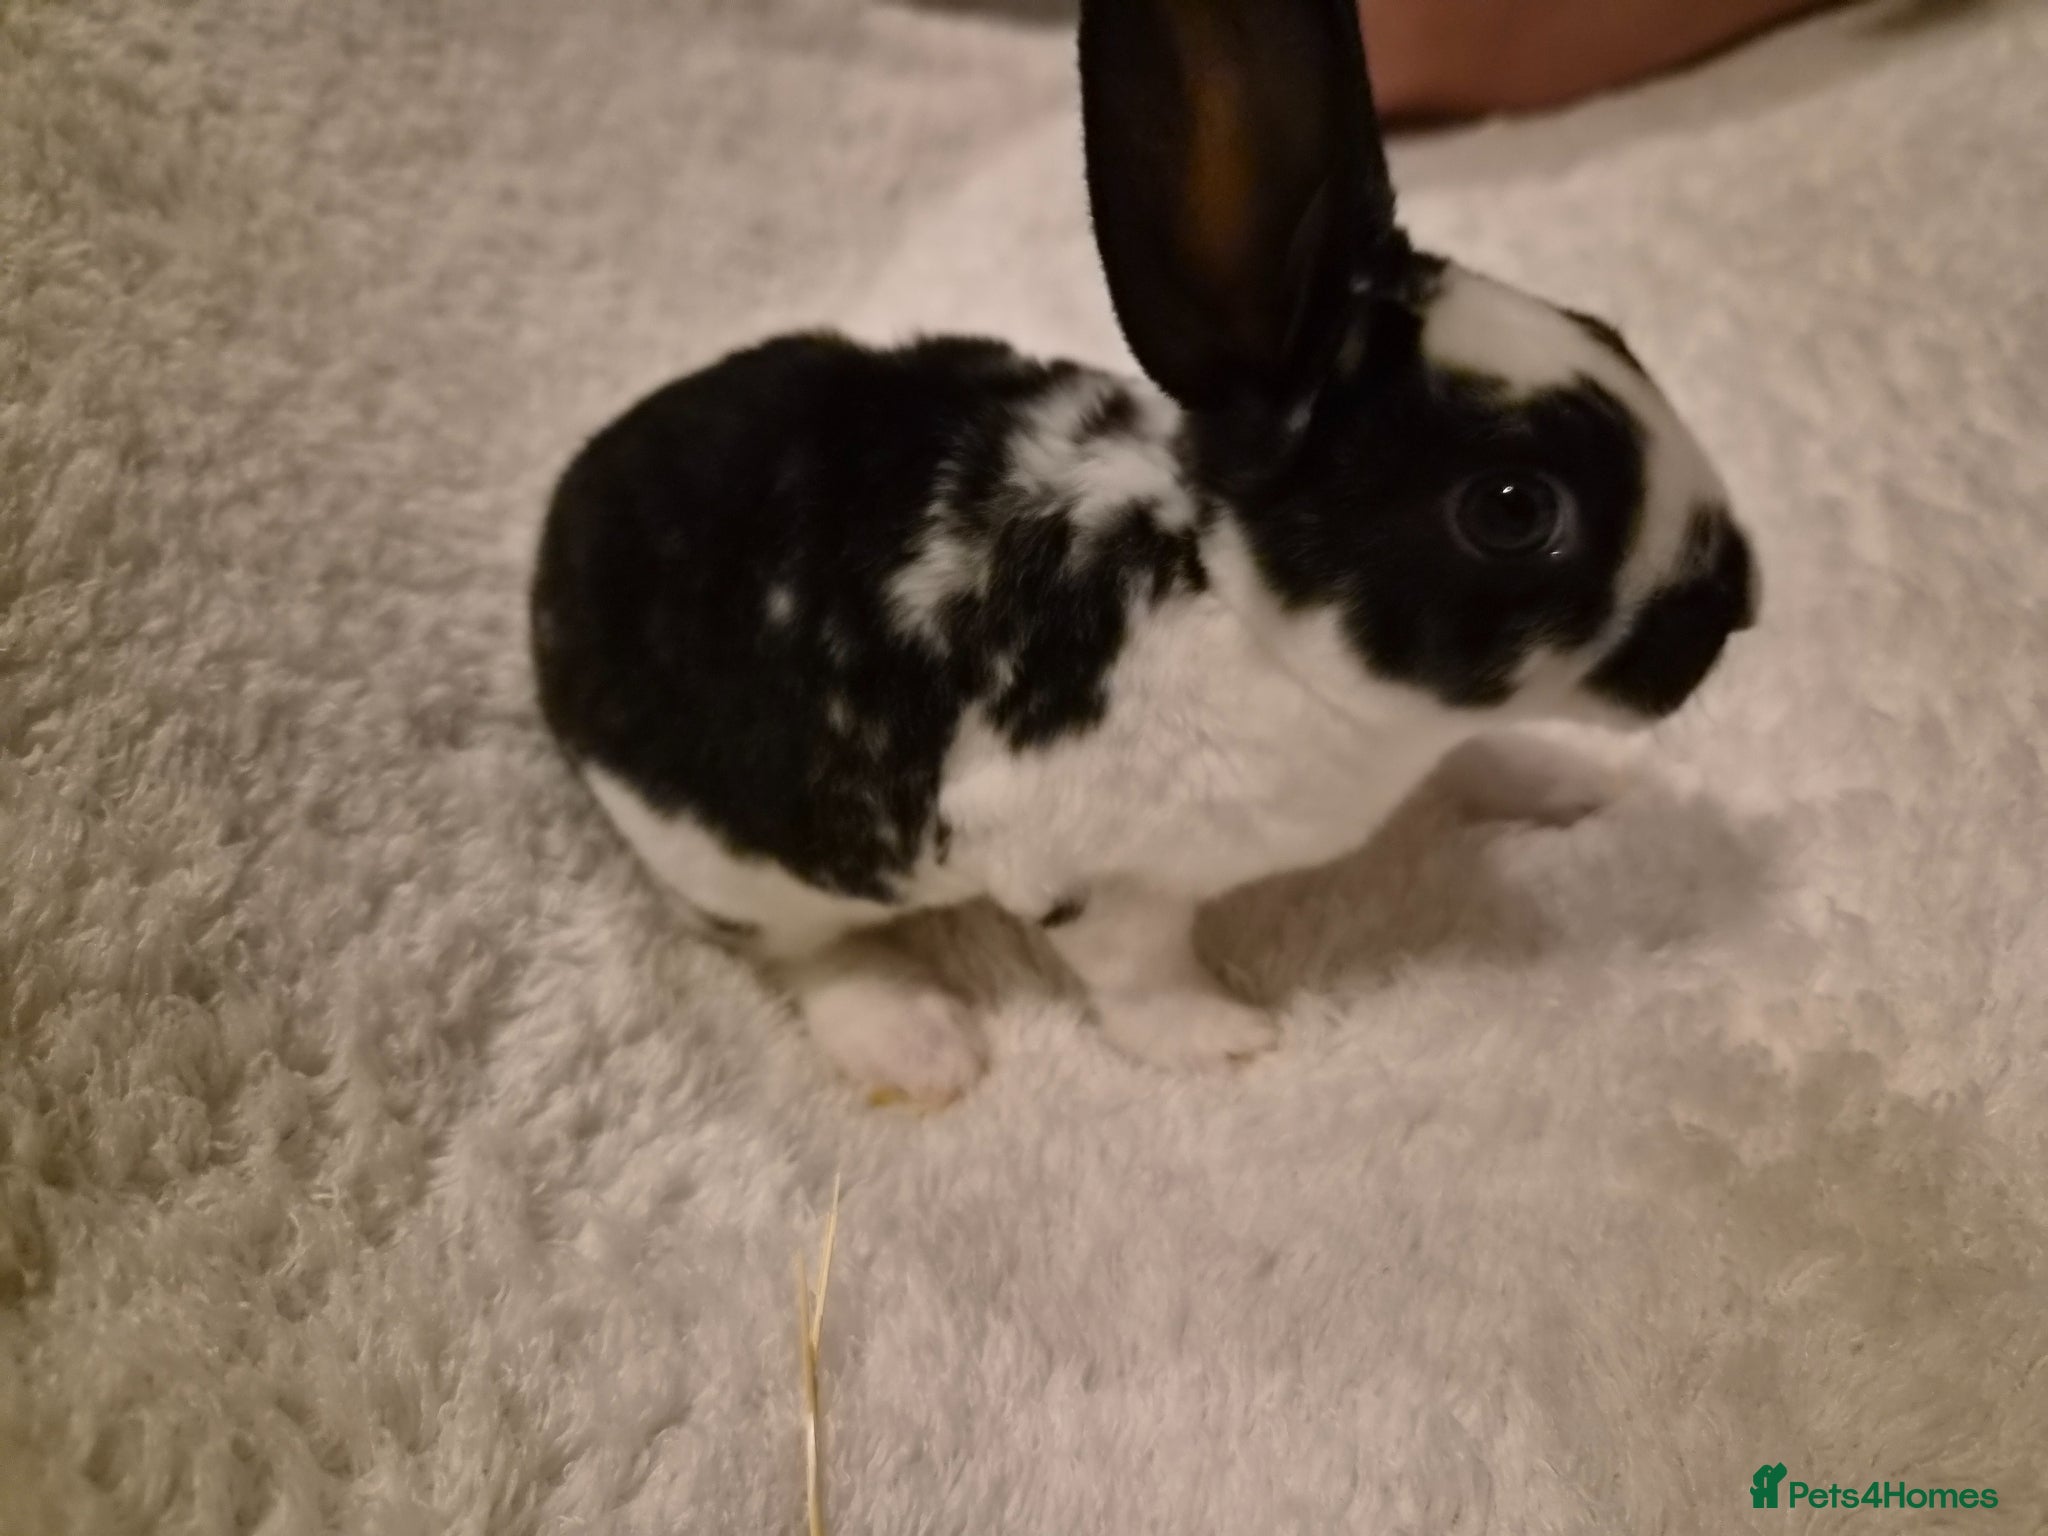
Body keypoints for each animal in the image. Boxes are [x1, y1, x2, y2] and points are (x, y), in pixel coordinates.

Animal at [531, 0, 1757, 1103]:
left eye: (1605, 330)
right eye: (1511, 508)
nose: (1736, 602)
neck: (1235, 603)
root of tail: (559, 536)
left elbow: (1470, 759)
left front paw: (1571, 783)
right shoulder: (1083, 872)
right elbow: (1137, 974)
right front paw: (1224, 1041)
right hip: (745, 867)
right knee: (800, 954)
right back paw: (919, 1045)